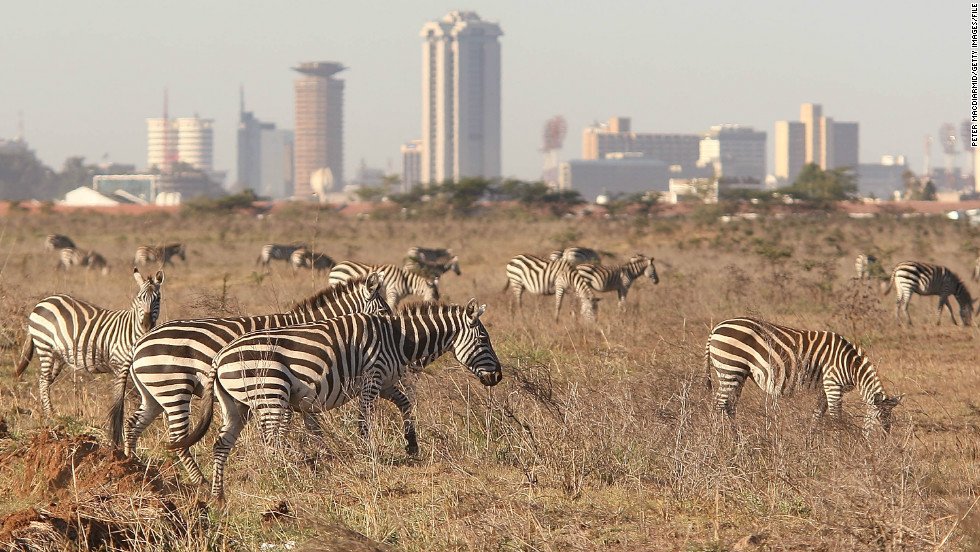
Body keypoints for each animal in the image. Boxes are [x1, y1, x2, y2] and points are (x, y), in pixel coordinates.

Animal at [14, 270, 165, 416]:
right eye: (140, 298)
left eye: (157, 299)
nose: (146, 325)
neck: (131, 330)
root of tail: (44, 301)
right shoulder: (119, 364)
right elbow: (125, 393)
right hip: (45, 346)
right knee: (43, 380)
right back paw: (50, 415)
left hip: (58, 355)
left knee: (47, 381)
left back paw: (45, 410)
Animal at [123, 274, 394, 480]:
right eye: (383, 309)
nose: (393, 327)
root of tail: (140, 344)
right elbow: (286, 426)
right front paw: (288, 458)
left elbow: (306, 424)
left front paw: (315, 455)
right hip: (174, 387)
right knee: (176, 437)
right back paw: (199, 480)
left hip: (155, 393)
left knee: (132, 424)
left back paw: (132, 467)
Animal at [168, 300, 502, 502]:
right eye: (484, 340)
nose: (498, 377)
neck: (397, 339)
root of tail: (219, 358)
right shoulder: (372, 378)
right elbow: (364, 419)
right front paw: (369, 453)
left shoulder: (386, 382)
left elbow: (406, 404)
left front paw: (411, 444)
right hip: (271, 393)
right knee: (271, 441)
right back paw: (284, 476)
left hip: (235, 404)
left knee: (222, 443)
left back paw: (218, 494)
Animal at [704, 316, 904, 434]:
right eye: (879, 418)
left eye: (890, 420)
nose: (883, 445)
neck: (851, 364)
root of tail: (716, 328)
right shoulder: (832, 383)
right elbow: (836, 416)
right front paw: (840, 443)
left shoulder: (825, 388)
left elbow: (818, 414)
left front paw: (811, 441)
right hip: (730, 368)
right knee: (718, 405)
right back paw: (716, 437)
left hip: (739, 373)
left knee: (730, 405)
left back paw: (735, 436)